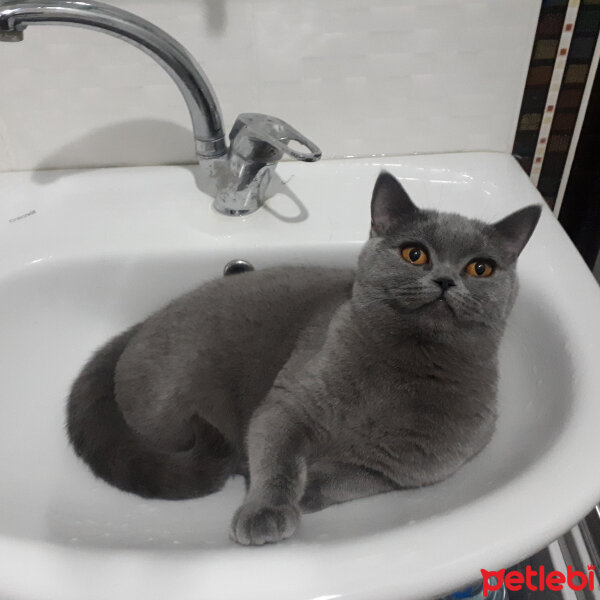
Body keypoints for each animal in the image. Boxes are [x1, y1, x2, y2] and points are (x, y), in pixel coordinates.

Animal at [67, 171, 544, 548]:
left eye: (480, 268)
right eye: (415, 253)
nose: (445, 280)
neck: (407, 364)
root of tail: (142, 324)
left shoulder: (408, 469)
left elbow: (349, 478)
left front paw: (307, 491)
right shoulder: (288, 404)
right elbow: (278, 457)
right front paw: (266, 512)